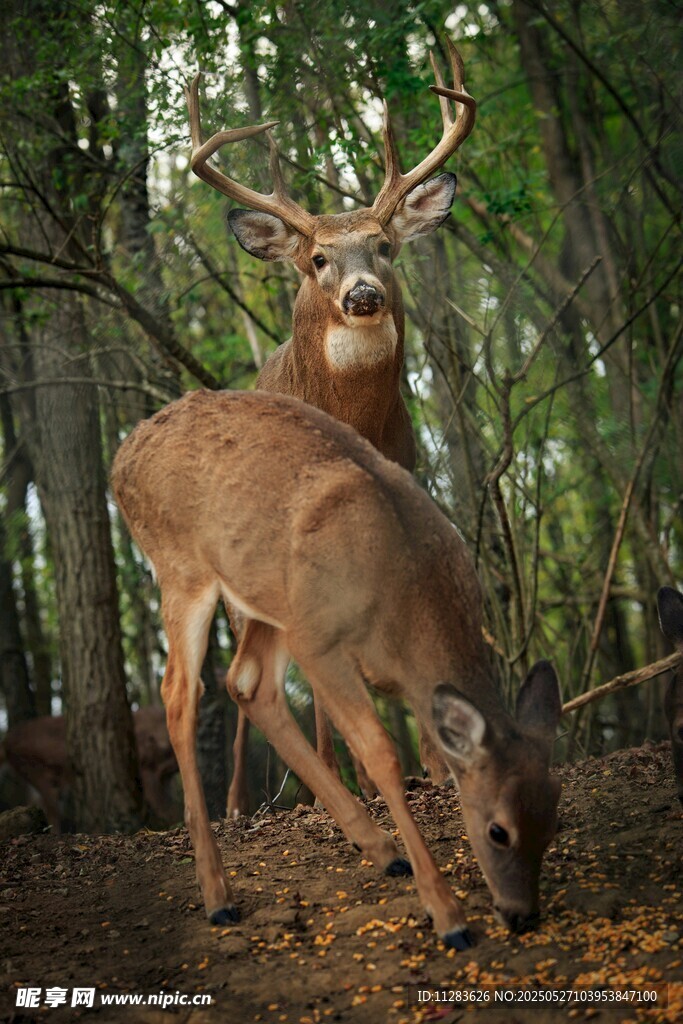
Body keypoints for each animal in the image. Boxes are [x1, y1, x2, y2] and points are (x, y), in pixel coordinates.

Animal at [4, 708, 180, 831]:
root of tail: (6, 740)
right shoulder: (147, 768)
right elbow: (166, 808)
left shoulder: (164, 775)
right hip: (38, 772)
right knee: (52, 810)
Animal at [112, 389, 562, 948]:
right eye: (498, 830)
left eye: (555, 816)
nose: (522, 914)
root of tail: (120, 461)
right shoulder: (318, 640)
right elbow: (381, 754)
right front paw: (448, 915)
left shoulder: (308, 626)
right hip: (184, 569)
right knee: (179, 693)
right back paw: (219, 897)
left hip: (271, 592)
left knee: (247, 682)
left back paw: (380, 850)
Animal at [185, 39, 477, 815]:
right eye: (318, 258)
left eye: (383, 246)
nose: (362, 293)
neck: (353, 425)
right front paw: (335, 779)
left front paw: (432, 770)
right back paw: (244, 800)